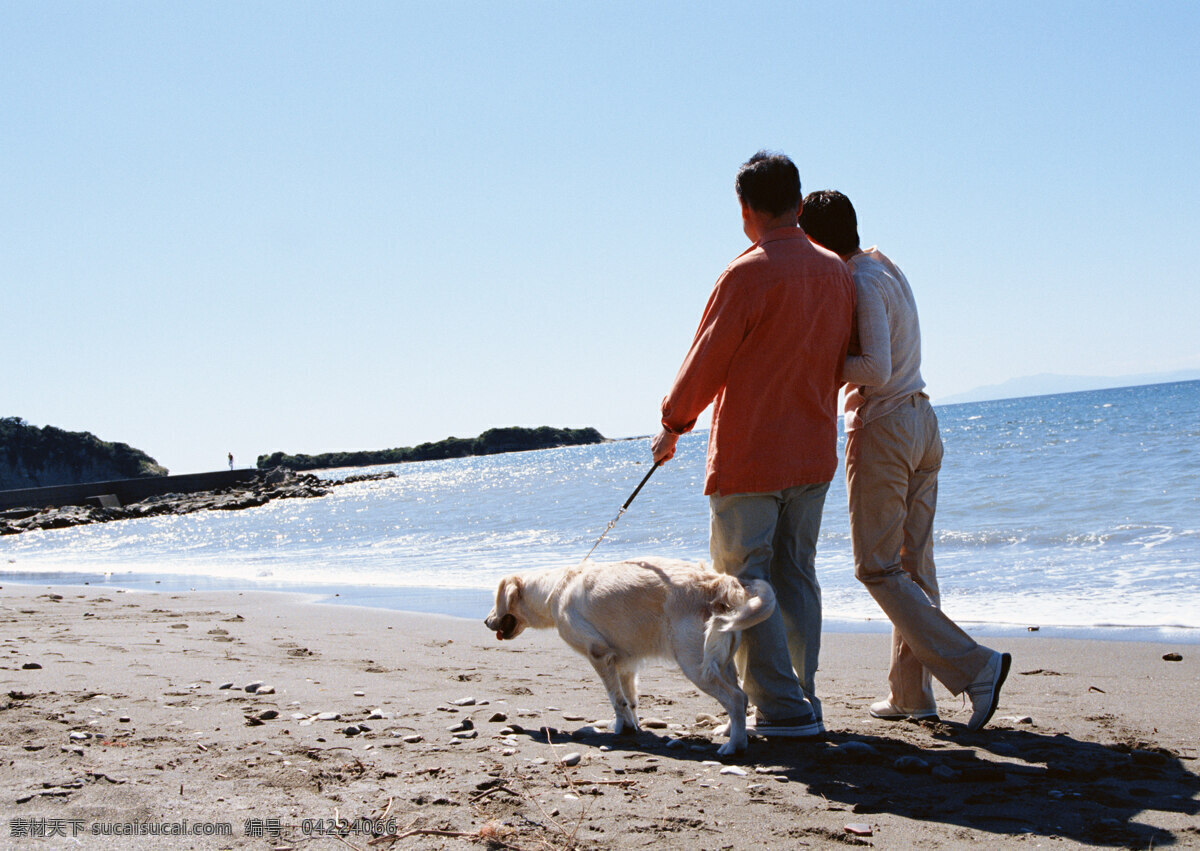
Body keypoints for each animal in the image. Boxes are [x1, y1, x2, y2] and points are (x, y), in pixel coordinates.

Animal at [482, 556, 772, 758]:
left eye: (496, 600)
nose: (485, 621)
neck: (555, 590)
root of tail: (718, 582)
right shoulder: (625, 663)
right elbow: (629, 700)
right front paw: (633, 725)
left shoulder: (599, 655)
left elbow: (616, 699)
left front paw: (622, 728)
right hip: (721, 662)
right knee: (740, 695)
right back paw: (729, 731)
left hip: (695, 664)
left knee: (735, 698)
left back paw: (734, 746)